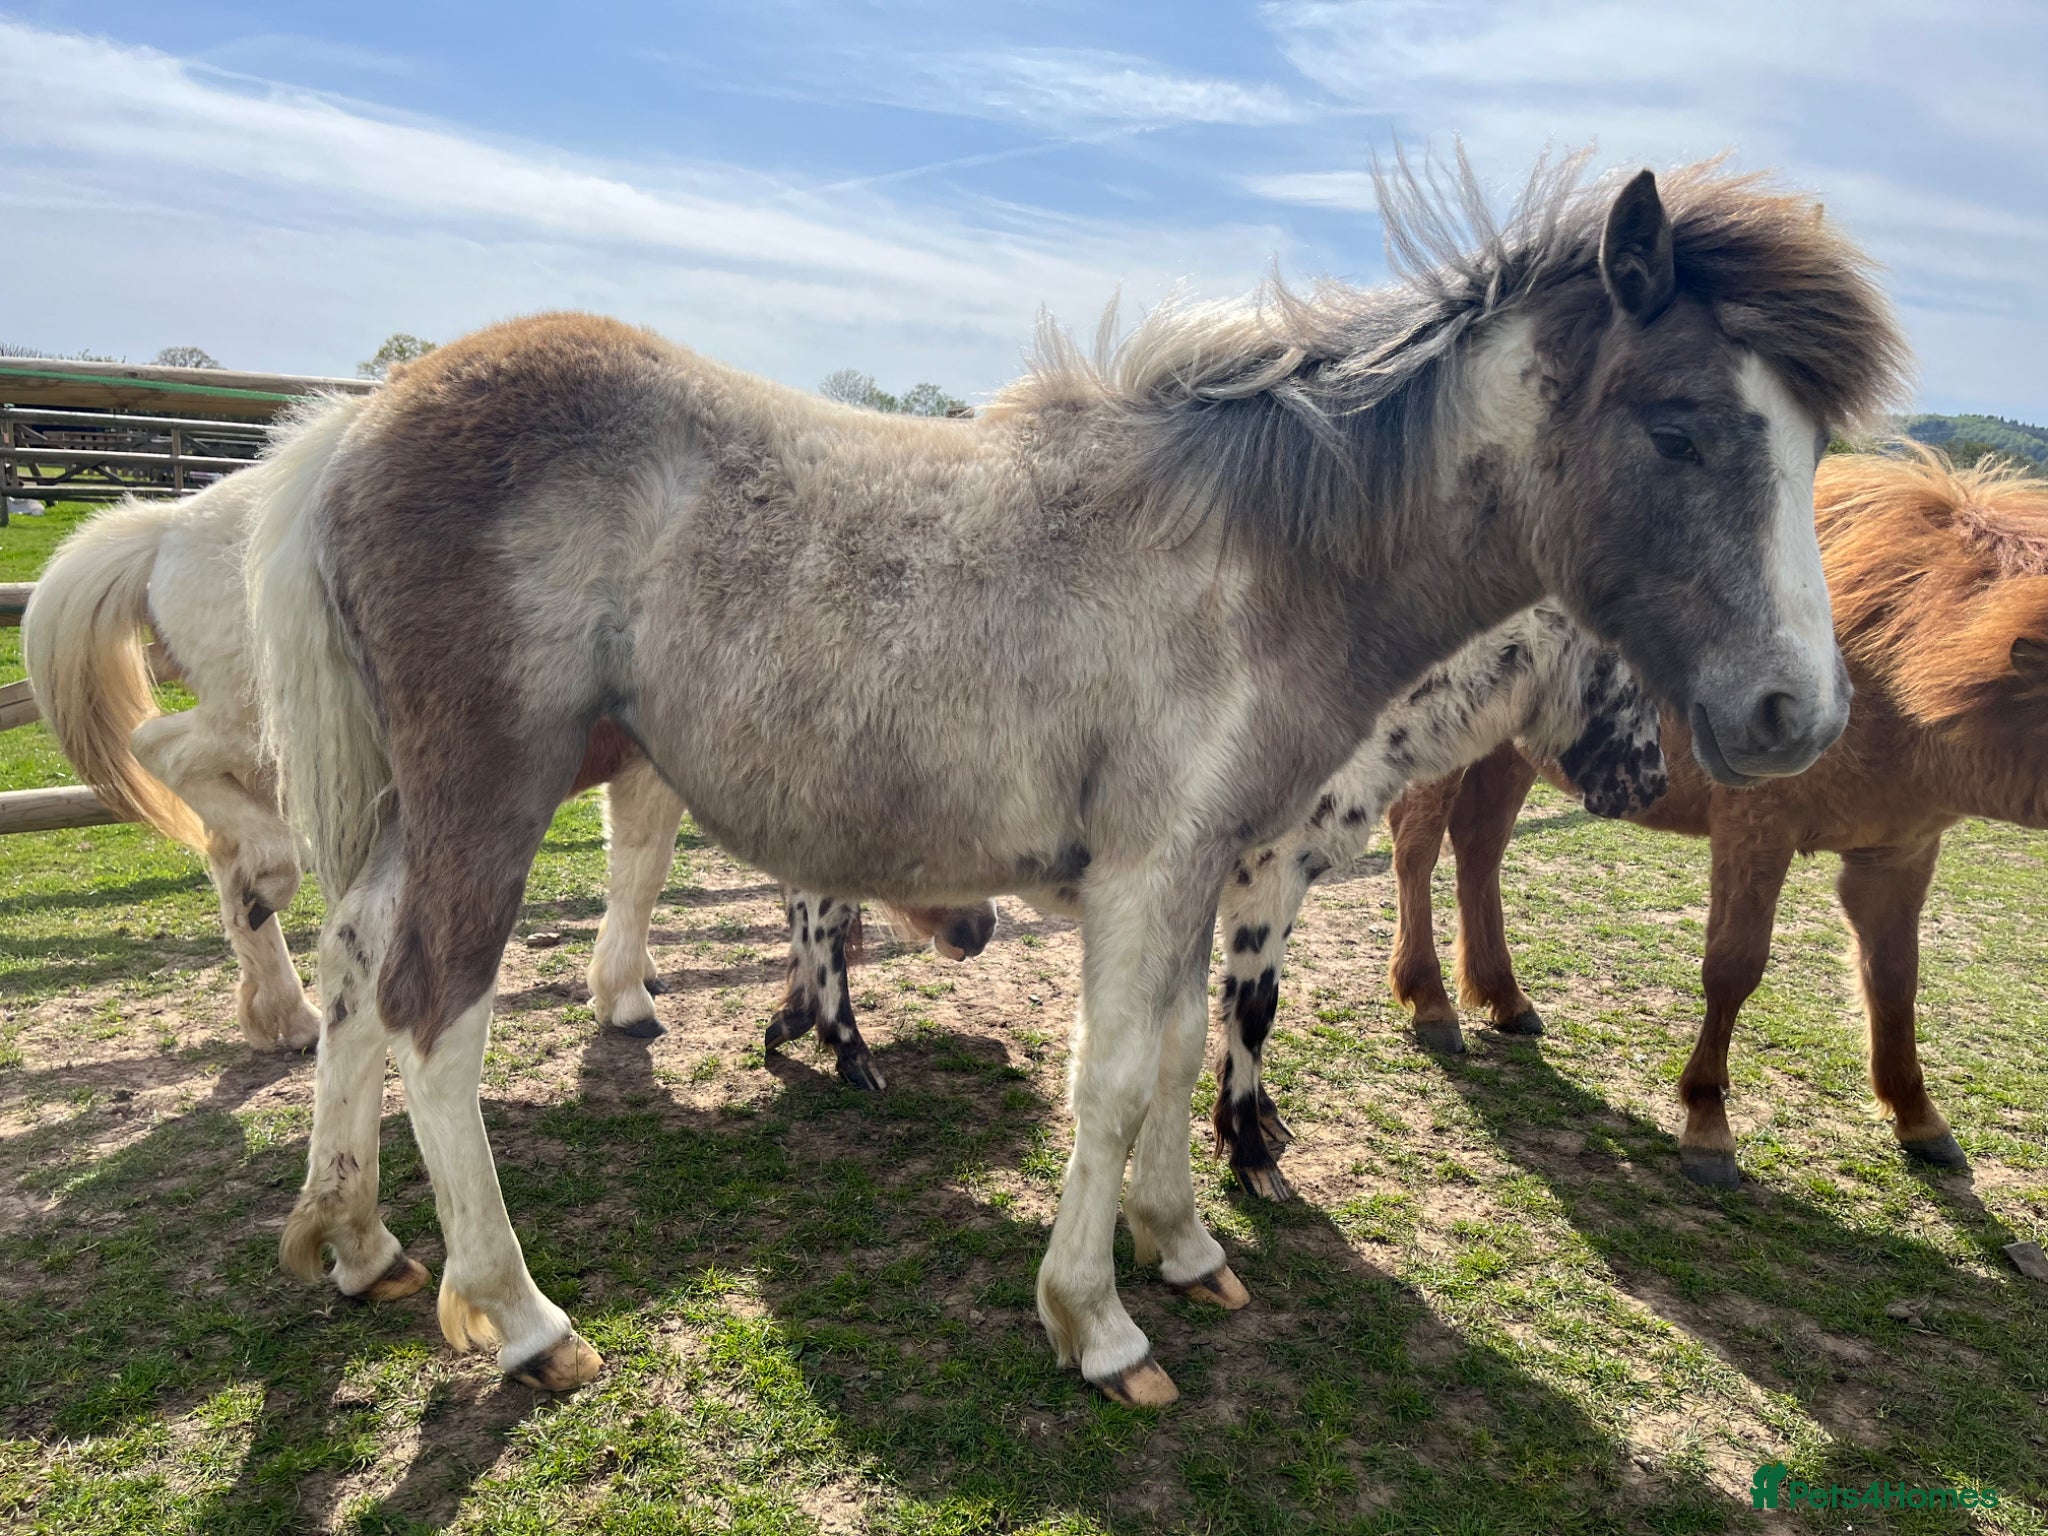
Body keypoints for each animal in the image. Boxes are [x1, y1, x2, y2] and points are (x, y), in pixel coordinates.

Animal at [21, 466, 995, 1075]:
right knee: (165, 754)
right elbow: (642, 869)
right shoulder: (653, 771)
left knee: (225, 863)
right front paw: (626, 1000)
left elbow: (633, 868)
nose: (980, 929)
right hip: (268, 729)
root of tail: (171, 527)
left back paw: (283, 1014)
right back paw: (276, 896)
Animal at [1378, 449, 2048, 1186]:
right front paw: (1708, 1125)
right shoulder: (1756, 828)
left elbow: (1896, 980)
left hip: (1510, 747)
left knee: (1479, 850)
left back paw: (1505, 997)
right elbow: (1734, 967)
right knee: (1416, 850)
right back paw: (1431, 1001)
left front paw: (1919, 1118)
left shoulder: (1897, 854)